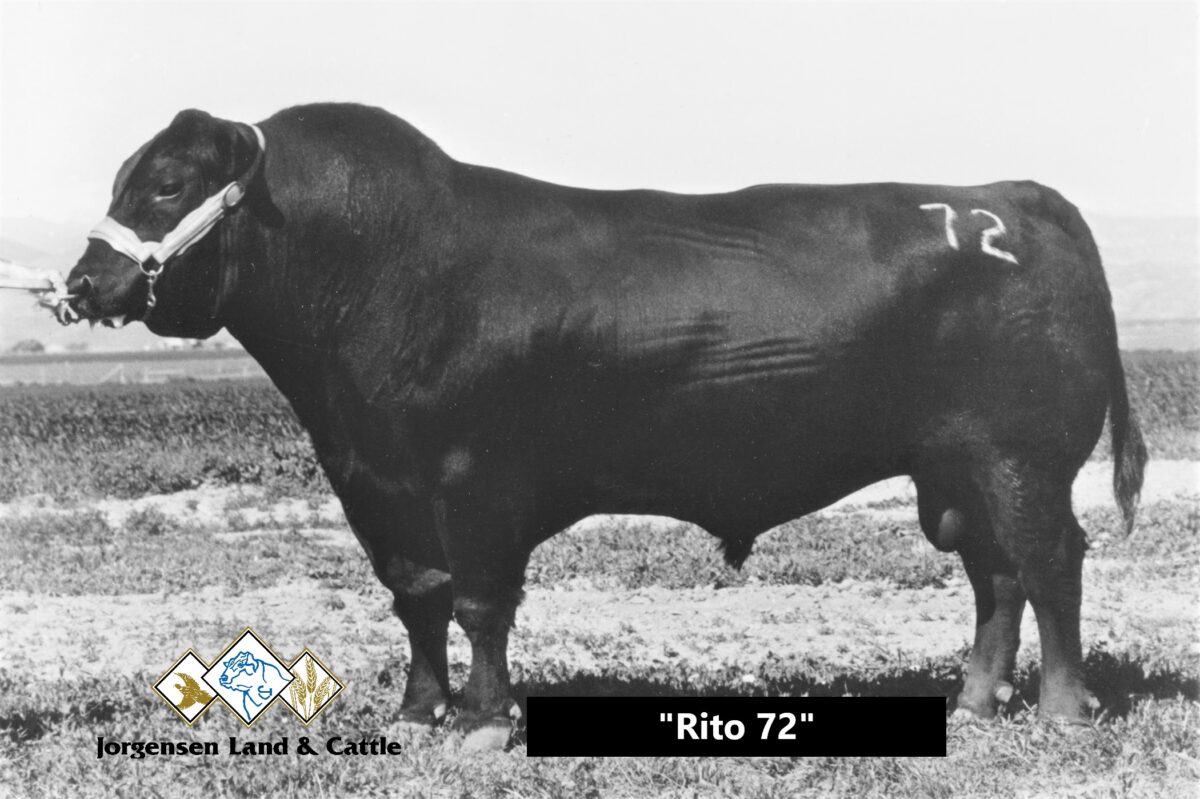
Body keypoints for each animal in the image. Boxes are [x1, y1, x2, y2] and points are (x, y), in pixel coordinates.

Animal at [58, 103, 1145, 750]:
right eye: (122, 177)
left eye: (166, 184)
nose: (83, 283)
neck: (384, 269)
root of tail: (1007, 197)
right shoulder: (372, 482)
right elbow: (416, 598)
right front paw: (417, 712)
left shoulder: (474, 481)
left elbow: (479, 605)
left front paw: (484, 723)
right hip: (957, 471)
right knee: (996, 575)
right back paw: (975, 700)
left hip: (1020, 458)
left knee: (1049, 559)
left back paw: (1063, 709)